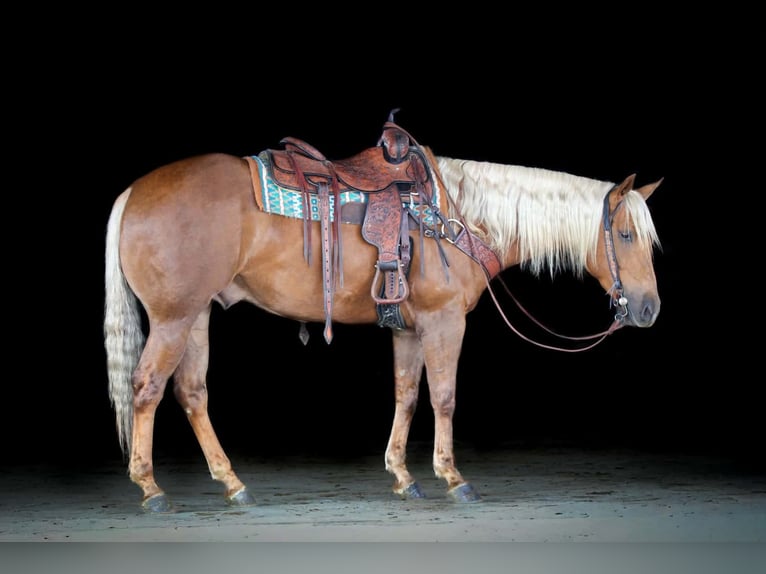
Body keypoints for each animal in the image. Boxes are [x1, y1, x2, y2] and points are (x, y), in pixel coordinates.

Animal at [104, 114, 662, 512]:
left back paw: (232, 483)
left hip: (197, 315)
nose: (648, 308)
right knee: (147, 388)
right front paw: (452, 477)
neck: (459, 214)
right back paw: (150, 489)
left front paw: (402, 475)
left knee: (191, 392)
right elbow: (443, 397)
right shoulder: (444, 322)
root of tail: (132, 192)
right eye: (625, 234)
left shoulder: (410, 328)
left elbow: (407, 396)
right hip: (174, 319)